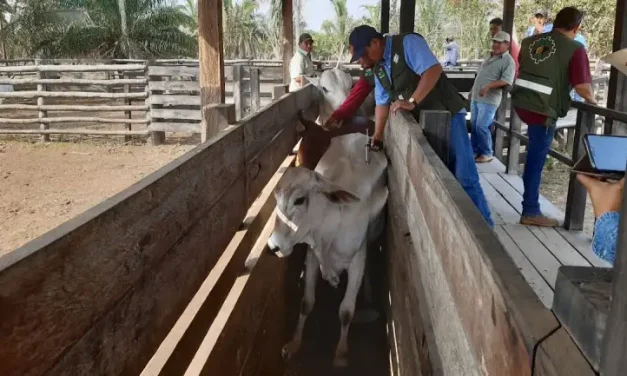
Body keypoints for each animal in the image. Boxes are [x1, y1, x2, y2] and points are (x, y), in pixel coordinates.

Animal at [268, 124, 390, 368]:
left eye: (299, 200)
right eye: (276, 199)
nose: (273, 245)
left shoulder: (356, 261)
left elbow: (346, 311)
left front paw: (341, 354)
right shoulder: (312, 257)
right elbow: (306, 302)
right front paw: (294, 344)